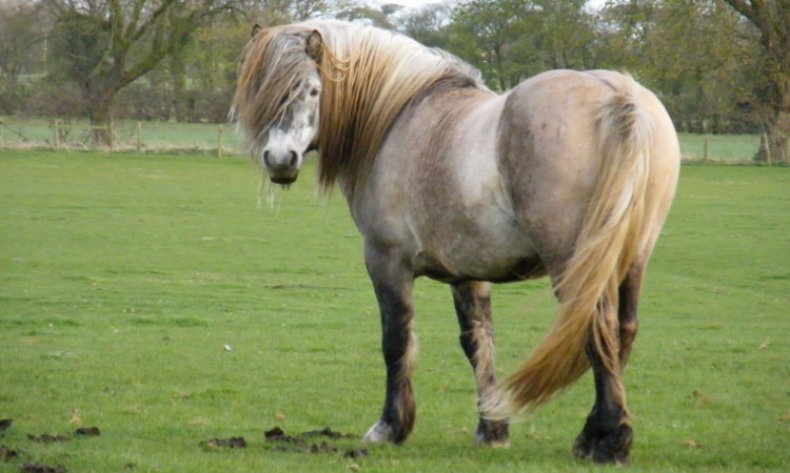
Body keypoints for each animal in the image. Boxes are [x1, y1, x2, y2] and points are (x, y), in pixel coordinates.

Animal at [229, 20, 680, 462]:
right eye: (263, 90)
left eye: (312, 90)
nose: (280, 160)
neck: (398, 119)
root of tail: (618, 94)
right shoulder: (470, 270)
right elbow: (477, 340)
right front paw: (492, 429)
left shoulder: (386, 261)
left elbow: (396, 338)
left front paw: (390, 427)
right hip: (631, 259)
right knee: (621, 330)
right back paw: (595, 435)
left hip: (574, 262)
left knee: (595, 327)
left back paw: (608, 441)